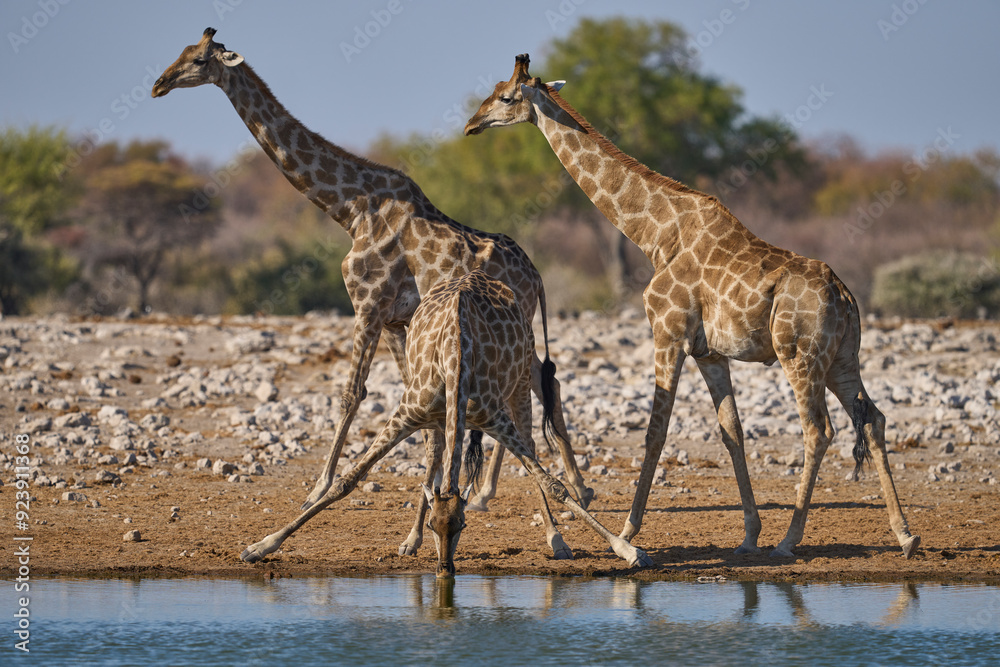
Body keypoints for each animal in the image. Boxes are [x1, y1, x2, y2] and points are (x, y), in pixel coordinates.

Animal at [150, 29, 595, 539]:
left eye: (200, 60)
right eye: (182, 53)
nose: (159, 84)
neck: (350, 208)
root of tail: (537, 275)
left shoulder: (367, 305)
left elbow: (351, 394)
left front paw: (317, 489)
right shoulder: (396, 321)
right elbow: (422, 419)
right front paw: (418, 523)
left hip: (510, 335)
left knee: (530, 392)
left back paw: (555, 508)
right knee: (542, 383)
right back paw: (562, 491)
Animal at [239, 270, 652, 574]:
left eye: (462, 526)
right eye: (438, 526)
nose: (444, 569)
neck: (455, 362)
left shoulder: (493, 416)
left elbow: (553, 485)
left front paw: (628, 550)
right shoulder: (407, 412)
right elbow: (347, 481)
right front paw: (260, 546)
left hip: (518, 384)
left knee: (530, 443)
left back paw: (556, 540)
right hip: (434, 415)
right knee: (436, 453)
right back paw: (409, 541)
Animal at [463, 54, 920, 559]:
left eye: (506, 97)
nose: (472, 124)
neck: (655, 235)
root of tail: (844, 296)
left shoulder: (668, 332)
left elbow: (655, 431)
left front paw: (628, 533)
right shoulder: (710, 352)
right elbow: (731, 431)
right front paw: (748, 534)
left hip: (799, 356)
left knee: (819, 430)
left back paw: (790, 540)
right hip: (842, 357)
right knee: (873, 418)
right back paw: (904, 534)